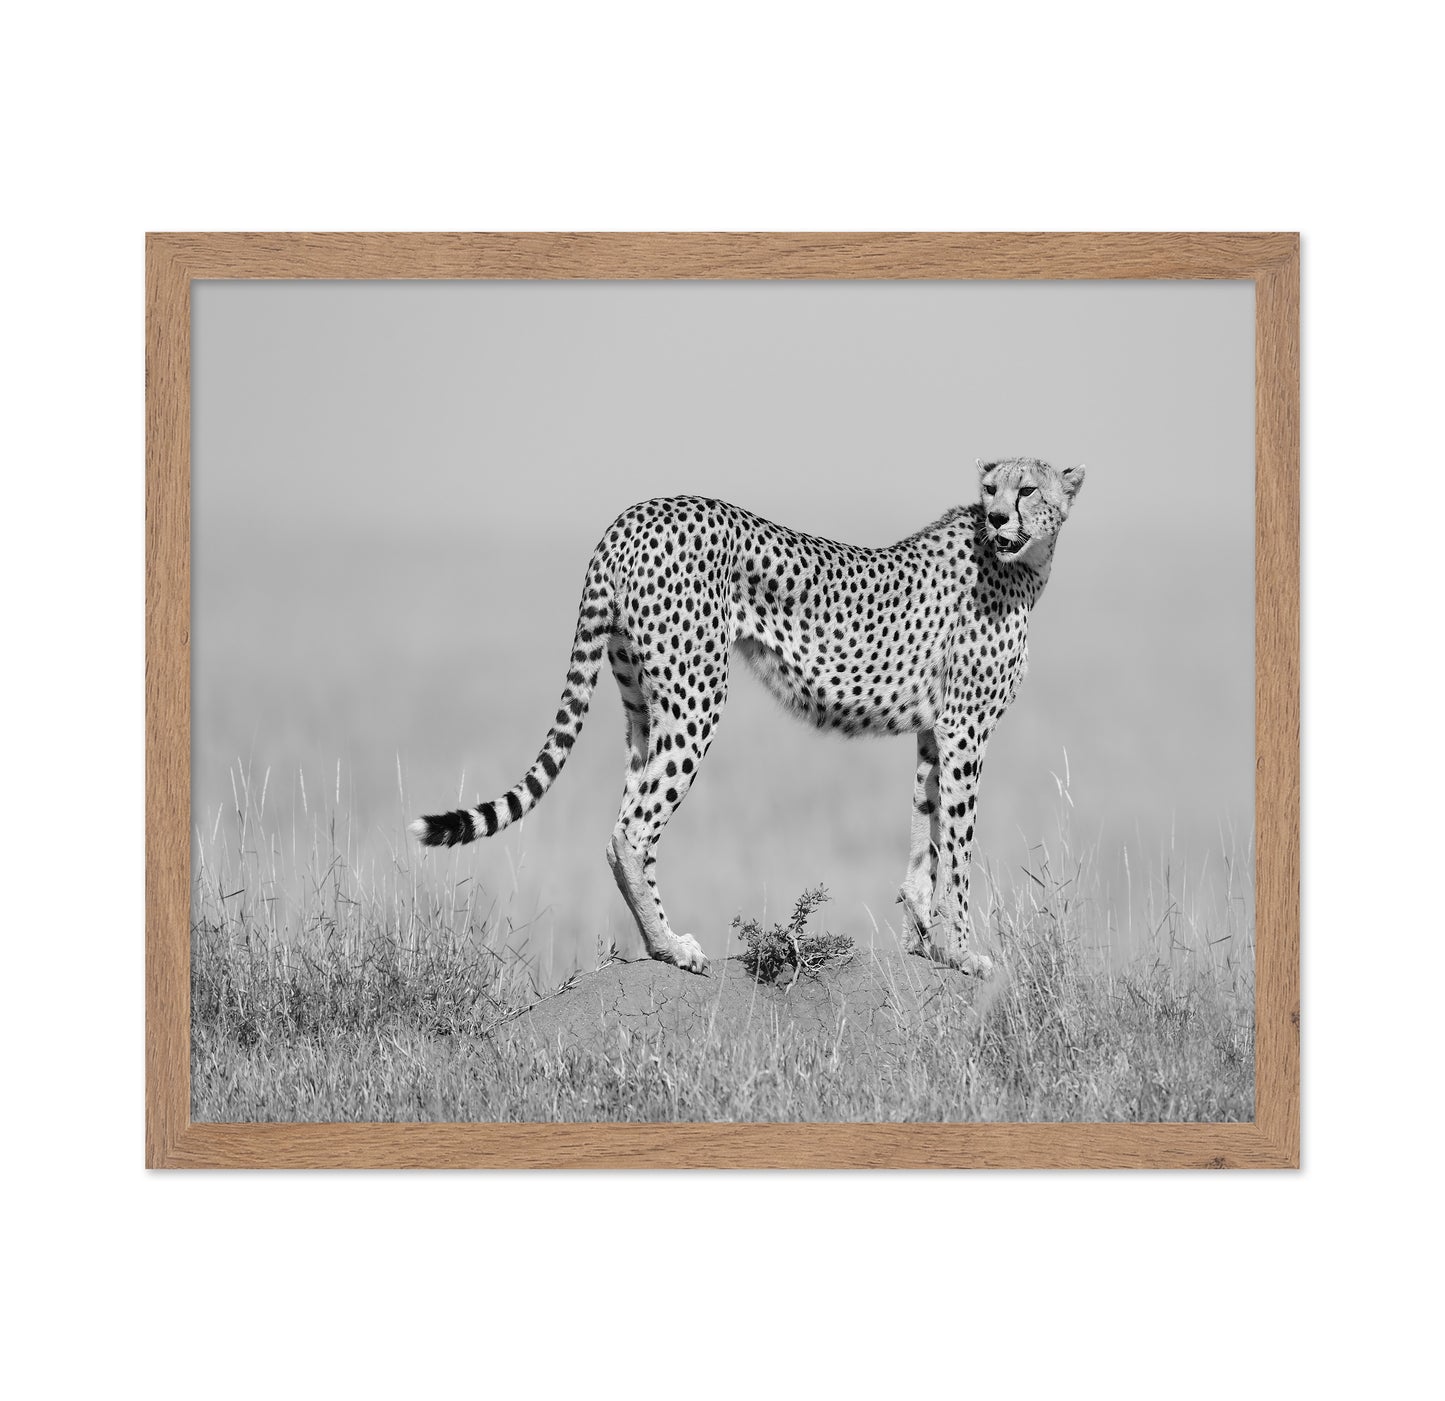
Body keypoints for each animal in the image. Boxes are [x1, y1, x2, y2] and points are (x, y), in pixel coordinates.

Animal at [412, 456, 1084, 976]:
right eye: (991, 490)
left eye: (1027, 490)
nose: (997, 518)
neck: (1022, 563)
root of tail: (634, 514)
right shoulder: (965, 730)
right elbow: (960, 845)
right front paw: (964, 951)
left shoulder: (932, 730)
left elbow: (927, 832)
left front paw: (927, 937)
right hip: (697, 696)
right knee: (633, 830)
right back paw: (672, 948)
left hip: (643, 704)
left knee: (624, 821)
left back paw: (658, 943)